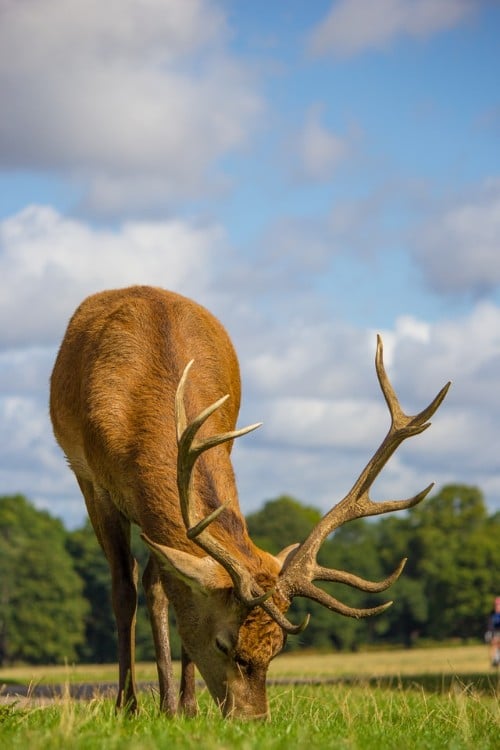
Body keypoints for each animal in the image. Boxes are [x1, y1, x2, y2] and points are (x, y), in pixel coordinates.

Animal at [49, 284, 450, 720]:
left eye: (278, 648)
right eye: (224, 643)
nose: (254, 719)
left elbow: (169, 588)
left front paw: (183, 706)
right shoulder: (95, 483)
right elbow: (123, 590)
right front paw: (128, 706)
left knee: (157, 582)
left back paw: (179, 704)